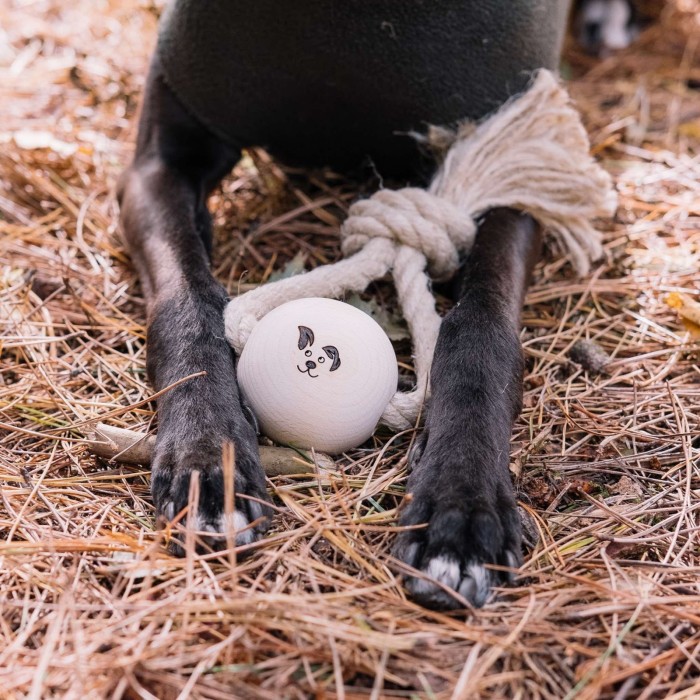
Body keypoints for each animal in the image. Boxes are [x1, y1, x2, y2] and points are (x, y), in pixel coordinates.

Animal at [117, 0, 620, 608]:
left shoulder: (513, 163)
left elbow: (481, 328)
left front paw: (460, 506)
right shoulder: (159, 163)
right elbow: (187, 300)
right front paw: (208, 457)